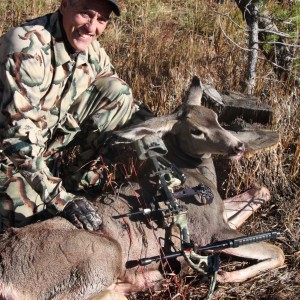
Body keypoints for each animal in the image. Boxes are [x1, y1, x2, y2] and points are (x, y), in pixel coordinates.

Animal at [0, 77, 284, 300]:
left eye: (215, 118)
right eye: (196, 130)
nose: (238, 146)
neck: (197, 176)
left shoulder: (219, 216)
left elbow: (260, 191)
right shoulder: (212, 232)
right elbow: (278, 251)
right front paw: (226, 275)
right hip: (100, 258)